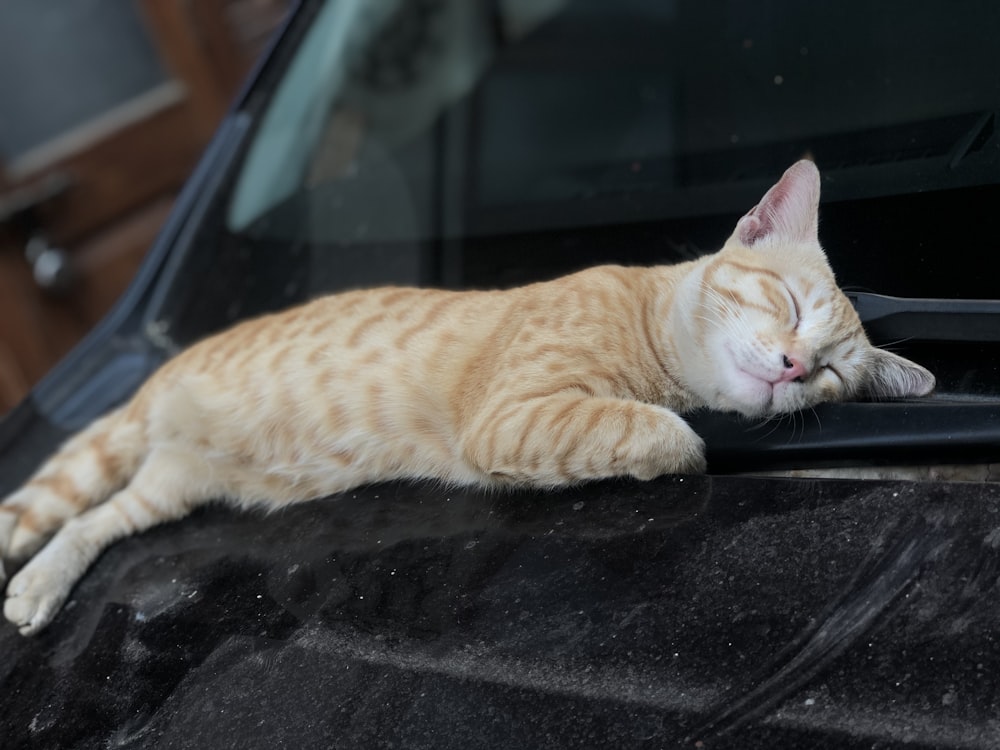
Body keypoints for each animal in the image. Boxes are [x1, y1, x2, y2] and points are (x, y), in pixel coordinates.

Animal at [1, 162, 936, 636]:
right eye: (788, 307)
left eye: (831, 374)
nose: (791, 365)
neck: (649, 325)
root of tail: (164, 374)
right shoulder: (510, 417)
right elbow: (651, 429)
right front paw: (680, 437)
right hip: (127, 448)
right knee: (51, 506)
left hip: (170, 485)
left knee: (93, 523)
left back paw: (39, 586)